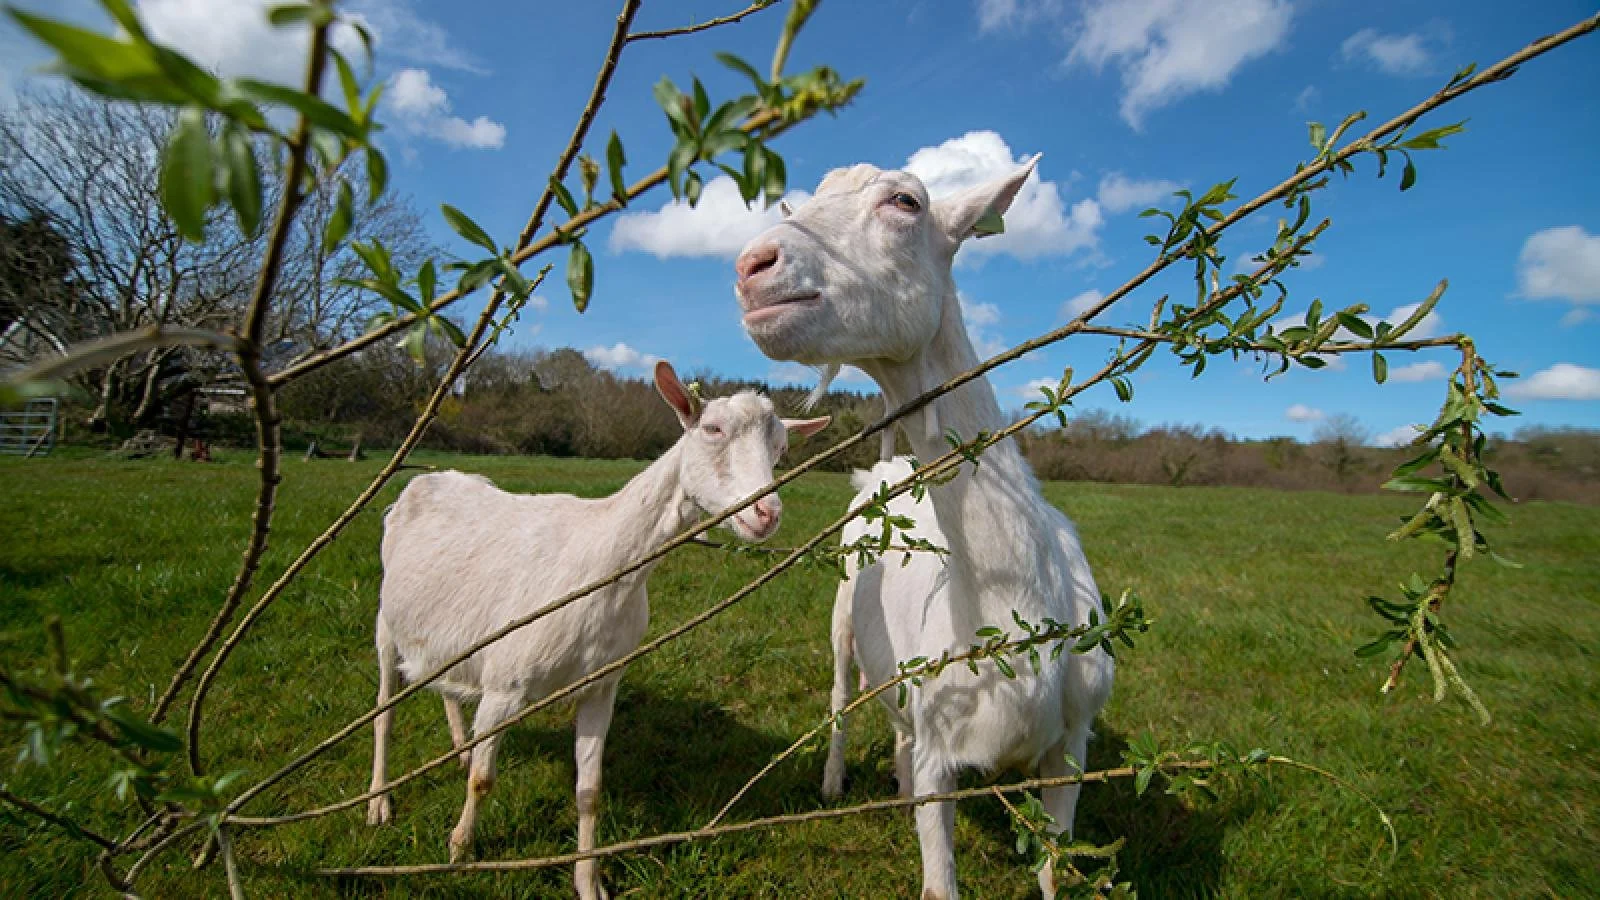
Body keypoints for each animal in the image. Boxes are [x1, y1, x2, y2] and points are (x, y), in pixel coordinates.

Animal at [366, 360, 828, 900]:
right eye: (712, 429)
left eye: (782, 450)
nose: (766, 514)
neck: (600, 563)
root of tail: (427, 480)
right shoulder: (505, 683)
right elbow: (483, 779)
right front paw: (460, 849)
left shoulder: (601, 684)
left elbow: (589, 790)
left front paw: (589, 881)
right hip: (385, 624)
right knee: (383, 711)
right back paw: (378, 803)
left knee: (446, 684)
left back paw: (458, 749)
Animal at [734, 158, 1113, 899]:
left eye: (906, 201)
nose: (752, 264)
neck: (1014, 612)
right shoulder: (945, 746)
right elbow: (939, 886)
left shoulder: (1072, 744)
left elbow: (1055, 869)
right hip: (843, 615)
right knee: (841, 695)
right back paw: (833, 782)